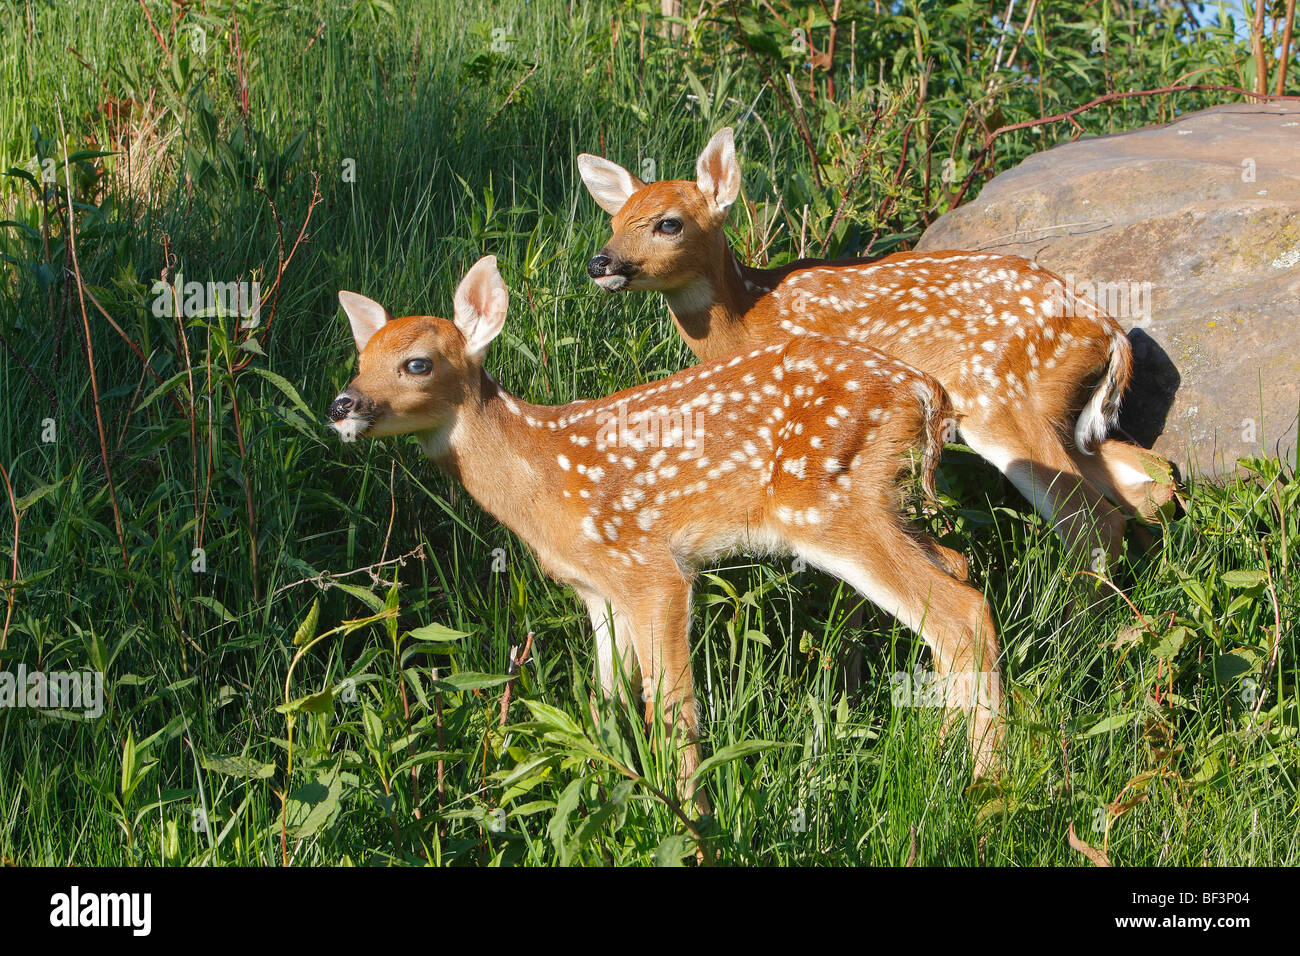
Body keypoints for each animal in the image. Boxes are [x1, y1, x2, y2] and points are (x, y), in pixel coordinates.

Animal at [328, 255, 1003, 810]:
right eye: (359, 361)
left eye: (417, 364)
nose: (343, 405)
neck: (544, 476)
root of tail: (928, 391)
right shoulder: (599, 592)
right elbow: (605, 705)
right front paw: (603, 792)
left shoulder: (650, 568)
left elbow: (674, 713)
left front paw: (691, 819)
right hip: (883, 500)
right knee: (959, 569)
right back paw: (950, 754)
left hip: (829, 507)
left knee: (959, 612)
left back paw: (985, 789)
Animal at [578, 128, 1178, 581]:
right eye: (613, 221)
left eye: (669, 223)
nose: (599, 263)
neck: (749, 316)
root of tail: (1109, 329)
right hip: (1063, 413)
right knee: (1145, 481)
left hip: (1001, 398)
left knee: (1089, 515)